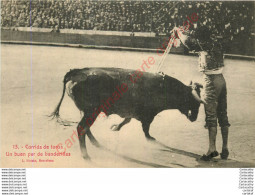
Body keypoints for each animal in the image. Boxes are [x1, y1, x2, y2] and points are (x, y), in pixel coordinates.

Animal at [50, 68, 203, 159]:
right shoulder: (148, 115)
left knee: (85, 128)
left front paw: (115, 127)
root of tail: (76, 73)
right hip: (92, 110)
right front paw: (152, 140)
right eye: (194, 102)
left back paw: (96, 144)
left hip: (87, 111)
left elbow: (127, 120)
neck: (164, 87)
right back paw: (85, 155)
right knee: (82, 127)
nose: (194, 118)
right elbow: (146, 131)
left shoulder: (134, 112)